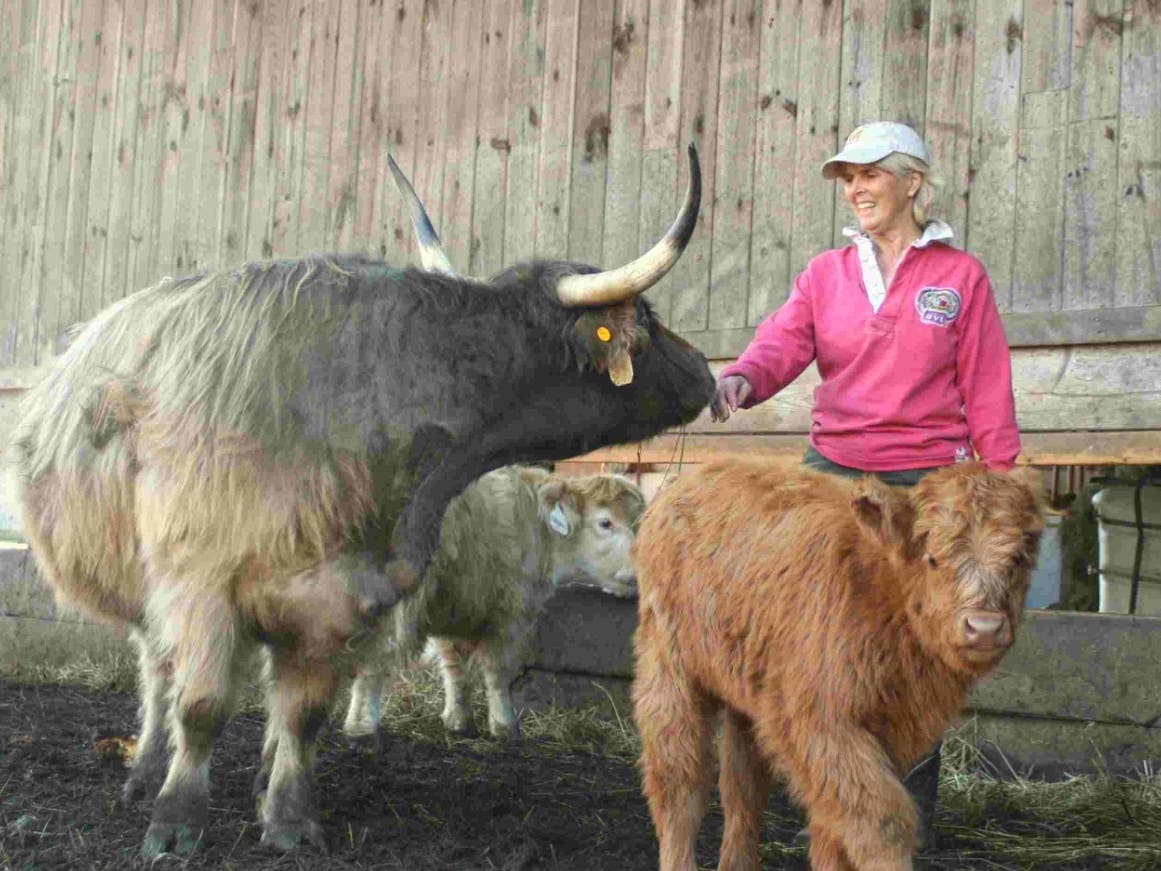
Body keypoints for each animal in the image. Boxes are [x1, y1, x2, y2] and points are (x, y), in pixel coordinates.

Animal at [338, 464, 644, 741]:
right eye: (605, 522)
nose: (641, 569)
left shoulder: (454, 610)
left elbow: (455, 667)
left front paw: (458, 719)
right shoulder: (509, 612)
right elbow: (497, 671)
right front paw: (504, 724)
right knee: (374, 658)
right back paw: (361, 724)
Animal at [630, 459, 1043, 871]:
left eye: (1017, 559)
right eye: (933, 559)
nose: (984, 627)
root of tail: (697, 473)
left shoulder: (888, 728)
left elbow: (836, 824)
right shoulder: (820, 723)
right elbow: (881, 820)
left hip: (745, 691)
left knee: (742, 786)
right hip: (670, 673)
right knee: (679, 785)